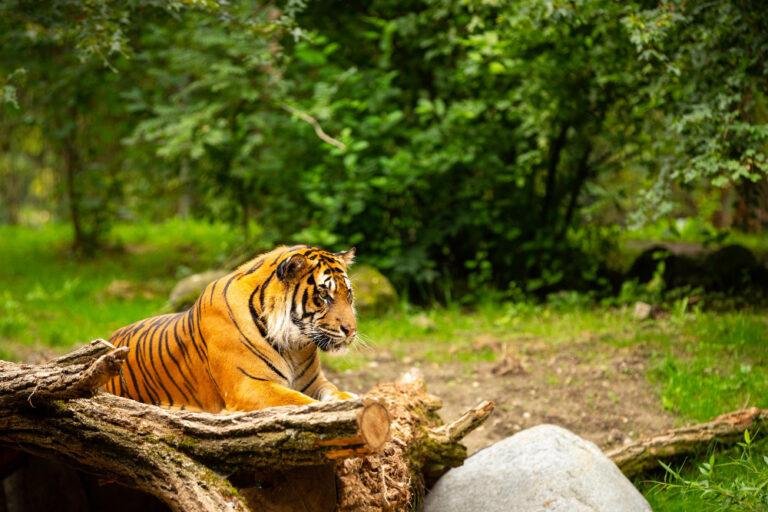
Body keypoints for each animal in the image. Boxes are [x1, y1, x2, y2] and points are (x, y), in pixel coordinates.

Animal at [103, 245, 359, 412]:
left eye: (348, 295)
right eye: (324, 296)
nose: (351, 330)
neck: (294, 346)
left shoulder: (314, 382)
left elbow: (335, 392)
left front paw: (349, 398)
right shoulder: (249, 386)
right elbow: (299, 402)